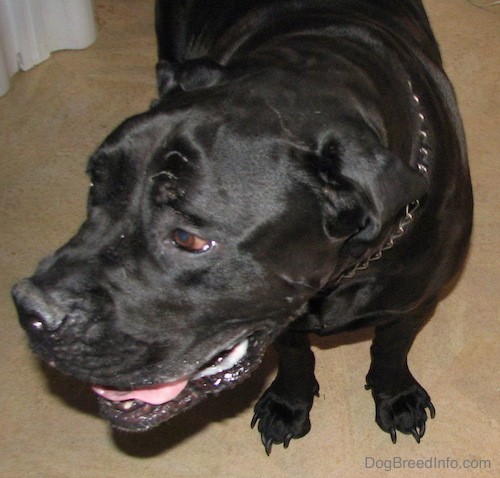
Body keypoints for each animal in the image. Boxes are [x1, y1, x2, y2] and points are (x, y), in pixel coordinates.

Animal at [12, 0, 472, 456]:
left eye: (187, 238)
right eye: (96, 185)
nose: (29, 309)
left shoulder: (414, 303)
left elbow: (391, 349)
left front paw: (396, 397)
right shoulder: (279, 319)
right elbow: (294, 355)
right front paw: (289, 404)